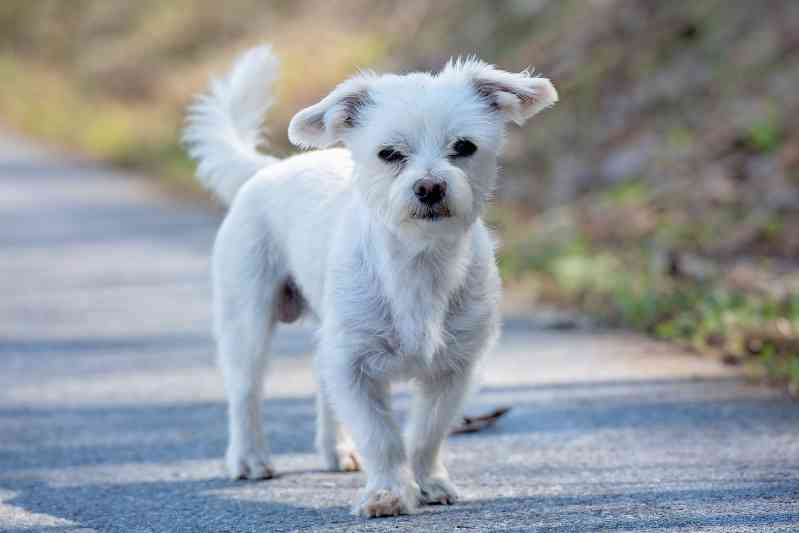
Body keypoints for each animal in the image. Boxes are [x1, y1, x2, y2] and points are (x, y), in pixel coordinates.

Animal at [183, 45, 556, 516]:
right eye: (389, 153)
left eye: (464, 147)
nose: (430, 187)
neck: (419, 262)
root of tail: (265, 171)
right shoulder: (353, 367)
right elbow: (382, 437)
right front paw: (388, 492)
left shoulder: (453, 370)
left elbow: (426, 434)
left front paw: (428, 482)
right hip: (247, 320)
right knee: (246, 392)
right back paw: (249, 458)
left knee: (320, 381)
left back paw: (335, 451)